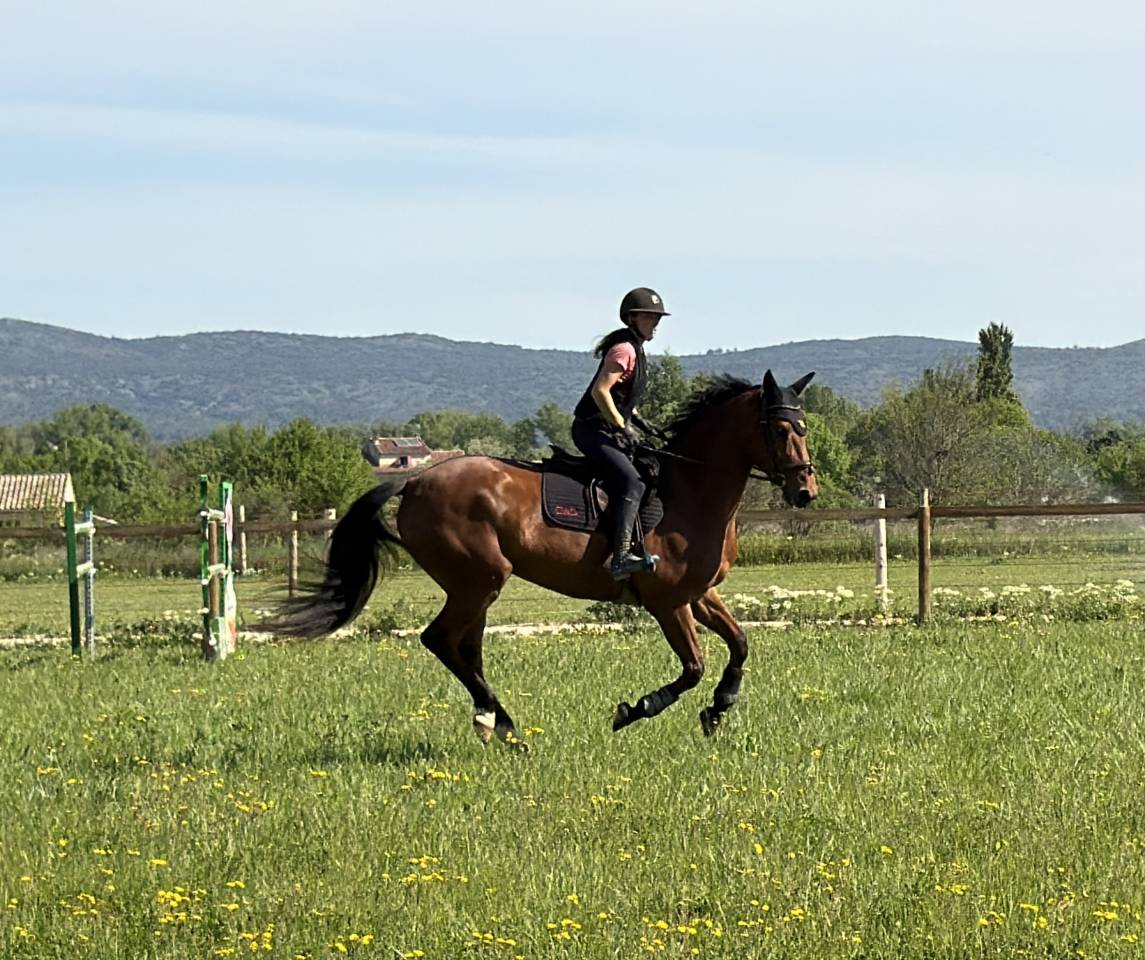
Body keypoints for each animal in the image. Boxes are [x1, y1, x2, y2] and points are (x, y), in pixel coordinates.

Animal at [266, 369, 817, 742]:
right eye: (780, 430)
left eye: (805, 427)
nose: (805, 491)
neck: (691, 492)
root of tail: (415, 480)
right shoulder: (668, 601)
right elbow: (694, 667)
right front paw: (636, 709)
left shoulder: (699, 594)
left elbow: (740, 644)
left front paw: (719, 709)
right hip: (480, 578)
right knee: (441, 639)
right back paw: (501, 722)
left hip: (476, 585)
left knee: (465, 647)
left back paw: (495, 722)